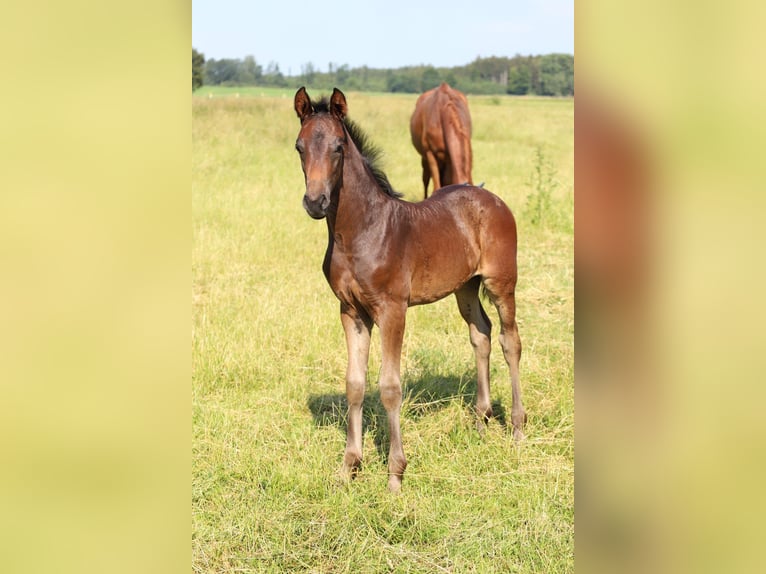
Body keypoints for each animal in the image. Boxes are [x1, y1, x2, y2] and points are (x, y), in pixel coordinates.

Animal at [293, 87, 525, 491]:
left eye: (338, 146)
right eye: (299, 147)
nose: (316, 202)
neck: (360, 231)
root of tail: (490, 197)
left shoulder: (392, 309)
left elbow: (389, 387)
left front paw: (395, 474)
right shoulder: (351, 311)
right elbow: (355, 384)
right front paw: (349, 467)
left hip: (501, 282)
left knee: (510, 341)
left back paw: (516, 429)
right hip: (465, 287)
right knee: (480, 334)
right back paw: (481, 422)